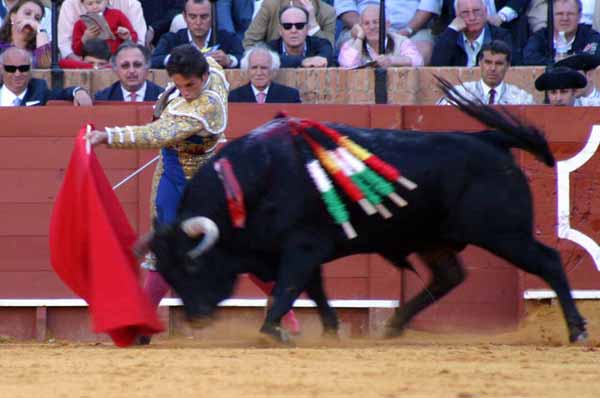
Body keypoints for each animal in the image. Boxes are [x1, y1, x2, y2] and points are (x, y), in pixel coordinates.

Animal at [148, 95, 588, 342]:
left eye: (193, 265)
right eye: (168, 271)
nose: (197, 317)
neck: (250, 181)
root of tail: (491, 140)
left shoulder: (303, 246)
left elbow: (291, 286)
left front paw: (271, 331)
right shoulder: (304, 249)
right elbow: (314, 289)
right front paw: (330, 331)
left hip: (504, 233)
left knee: (548, 261)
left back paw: (578, 329)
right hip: (435, 239)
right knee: (449, 277)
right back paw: (394, 325)